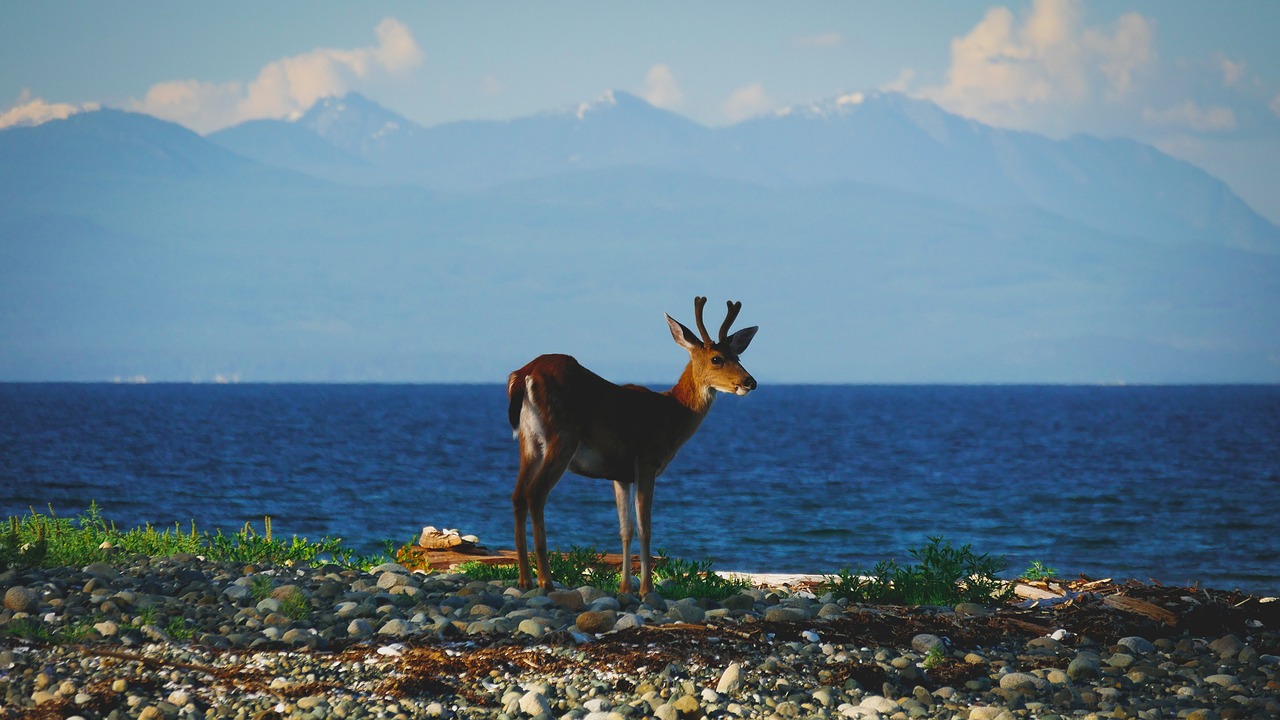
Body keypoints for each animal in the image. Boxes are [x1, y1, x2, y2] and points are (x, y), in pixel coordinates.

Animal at [504, 294, 752, 591]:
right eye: (717, 358)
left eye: (738, 355)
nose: (750, 382)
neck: (672, 414)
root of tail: (524, 374)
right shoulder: (647, 460)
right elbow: (645, 527)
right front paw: (646, 590)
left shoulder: (620, 474)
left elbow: (626, 529)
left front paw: (625, 589)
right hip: (562, 437)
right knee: (535, 493)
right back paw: (546, 581)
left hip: (529, 441)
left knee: (517, 495)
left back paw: (524, 579)